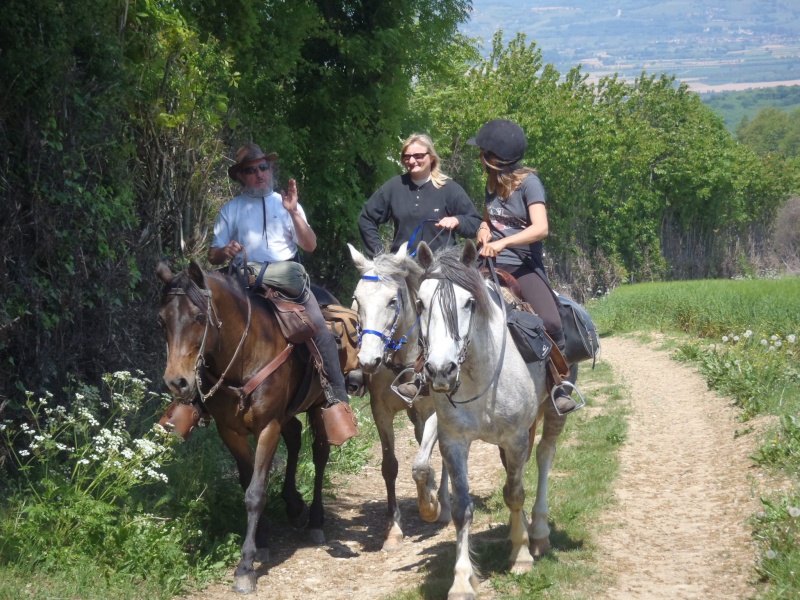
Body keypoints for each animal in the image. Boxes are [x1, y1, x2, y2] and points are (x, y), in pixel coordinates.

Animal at [156, 260, 332, 592]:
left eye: (199, 317)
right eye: (161, 320)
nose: (177, 382)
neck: (245, 356)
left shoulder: (268, 427)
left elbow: (255, 493)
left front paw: (246, 566)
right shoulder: (230, 431)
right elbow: (247, 481)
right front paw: (261, 539)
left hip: (317, 406)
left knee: (319, 454)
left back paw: (316, 519)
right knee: (295, 438)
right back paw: (294, 505)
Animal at [348, 241, 454, 552]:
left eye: (392, 301)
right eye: (357, 300)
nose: (368, 360)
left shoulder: (435, 413)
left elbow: (420, 466)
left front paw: (431, 507)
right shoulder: (381, 412)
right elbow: (390, 467)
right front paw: (393, 529)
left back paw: (443, 504)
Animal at [412, 241, 568, 596]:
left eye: (469, 302)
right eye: (420, 303)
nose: (441, 370)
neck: (479, 375)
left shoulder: (515, 437)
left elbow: (514, 493)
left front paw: (521, 555)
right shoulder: (454, 441)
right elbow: (462, 508)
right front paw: (461, 580)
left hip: (552, 413)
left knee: (544, 457)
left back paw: (537, 533)